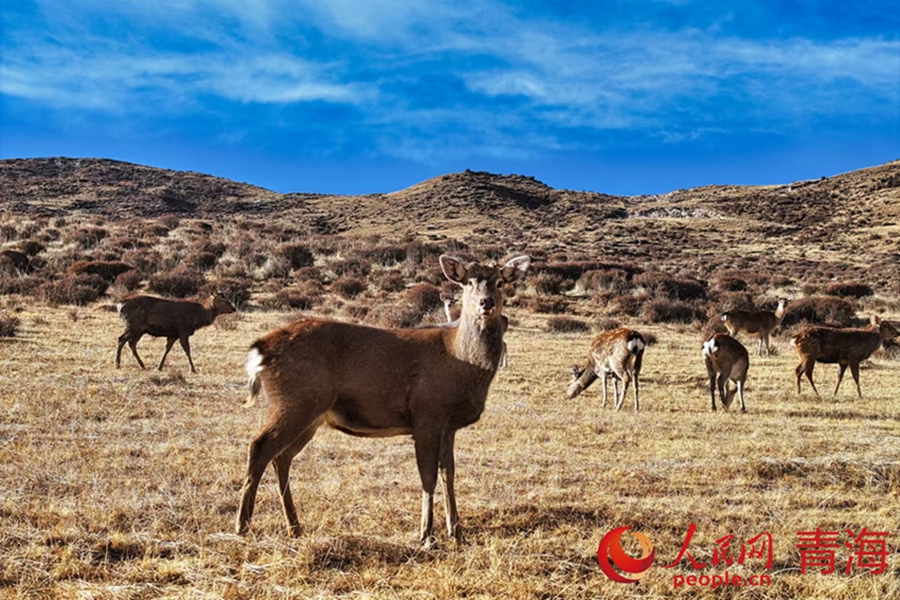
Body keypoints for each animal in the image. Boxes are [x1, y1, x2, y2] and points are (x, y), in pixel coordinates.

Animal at [236, 255, 532, 548]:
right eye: (468, 282)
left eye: (500, 282)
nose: (486, 302)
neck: (461, 362)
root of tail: (260, 350)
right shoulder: (427, 413)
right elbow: (428, 476)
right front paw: (426, 535)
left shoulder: (448, 426)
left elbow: (449, 474)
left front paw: (456, 532)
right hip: (295, 402)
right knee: (259, 447)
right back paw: (243, 526)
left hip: (310, 414)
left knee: (281, 457)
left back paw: (294, 527)